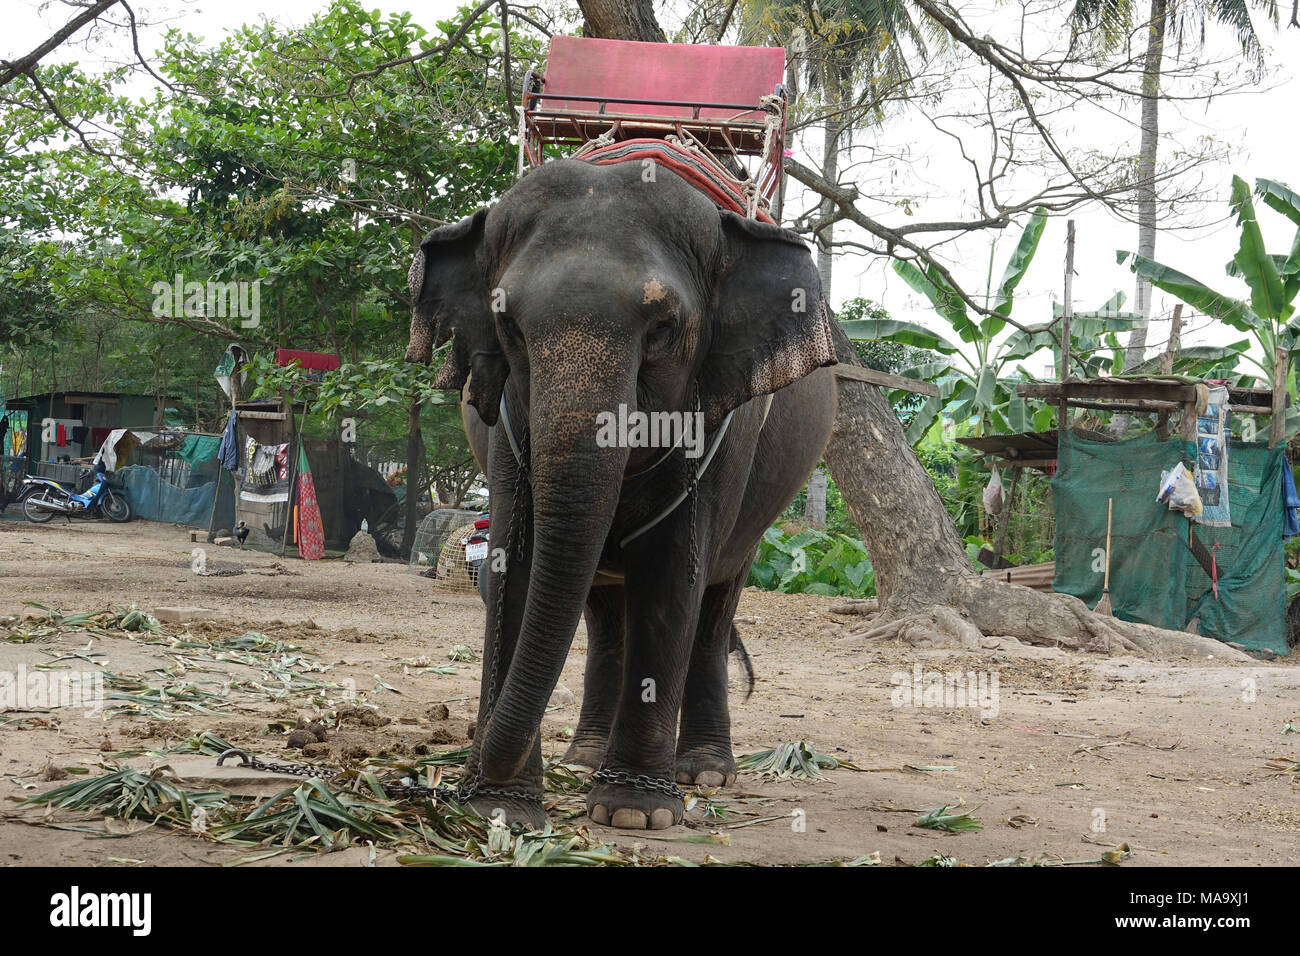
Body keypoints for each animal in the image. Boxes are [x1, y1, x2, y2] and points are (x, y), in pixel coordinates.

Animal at [405, 157, 839, 830]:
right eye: (508, 327)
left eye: (661, 329)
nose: (460, 780)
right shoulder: (506, 424)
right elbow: (516, 563)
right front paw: (503, 807)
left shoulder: (725, 422)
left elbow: (671, 570)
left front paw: (635, 813)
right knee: (605, 613)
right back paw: (584, 756)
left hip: (759, 512)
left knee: (715, 606)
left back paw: (704, 773)